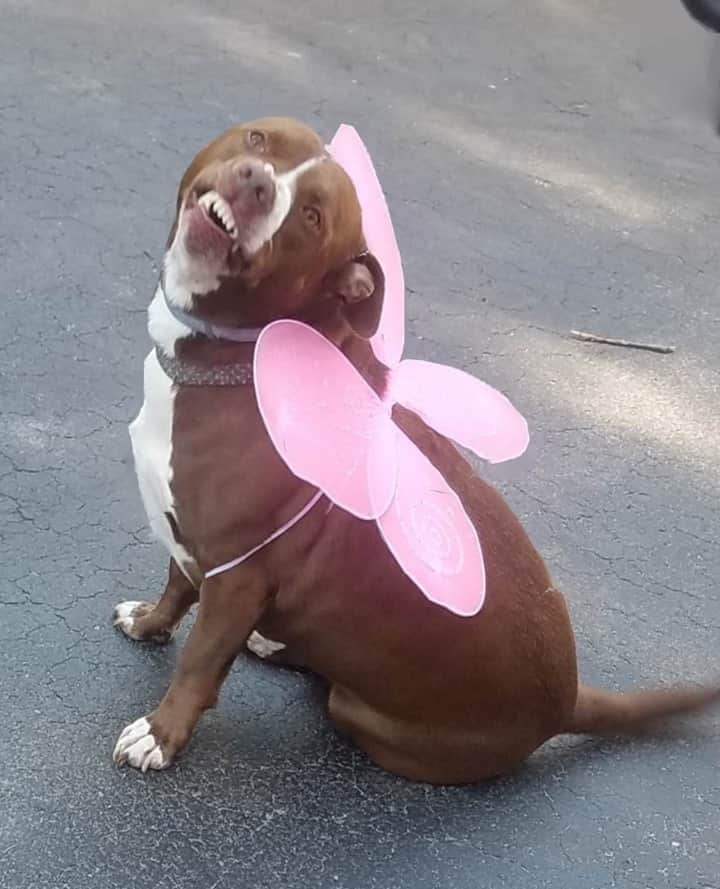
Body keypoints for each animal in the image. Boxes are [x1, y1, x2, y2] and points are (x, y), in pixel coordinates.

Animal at [115, 118, 716, 784]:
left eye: (313, 217)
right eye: (259, 140)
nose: (255, 183)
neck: (240, 357)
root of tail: (567, 701)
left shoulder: (239, 574)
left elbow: (198, 661)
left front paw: (161, 734)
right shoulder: (190, 539)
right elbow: (176, 586)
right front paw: (149, 623)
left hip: (361, 712)